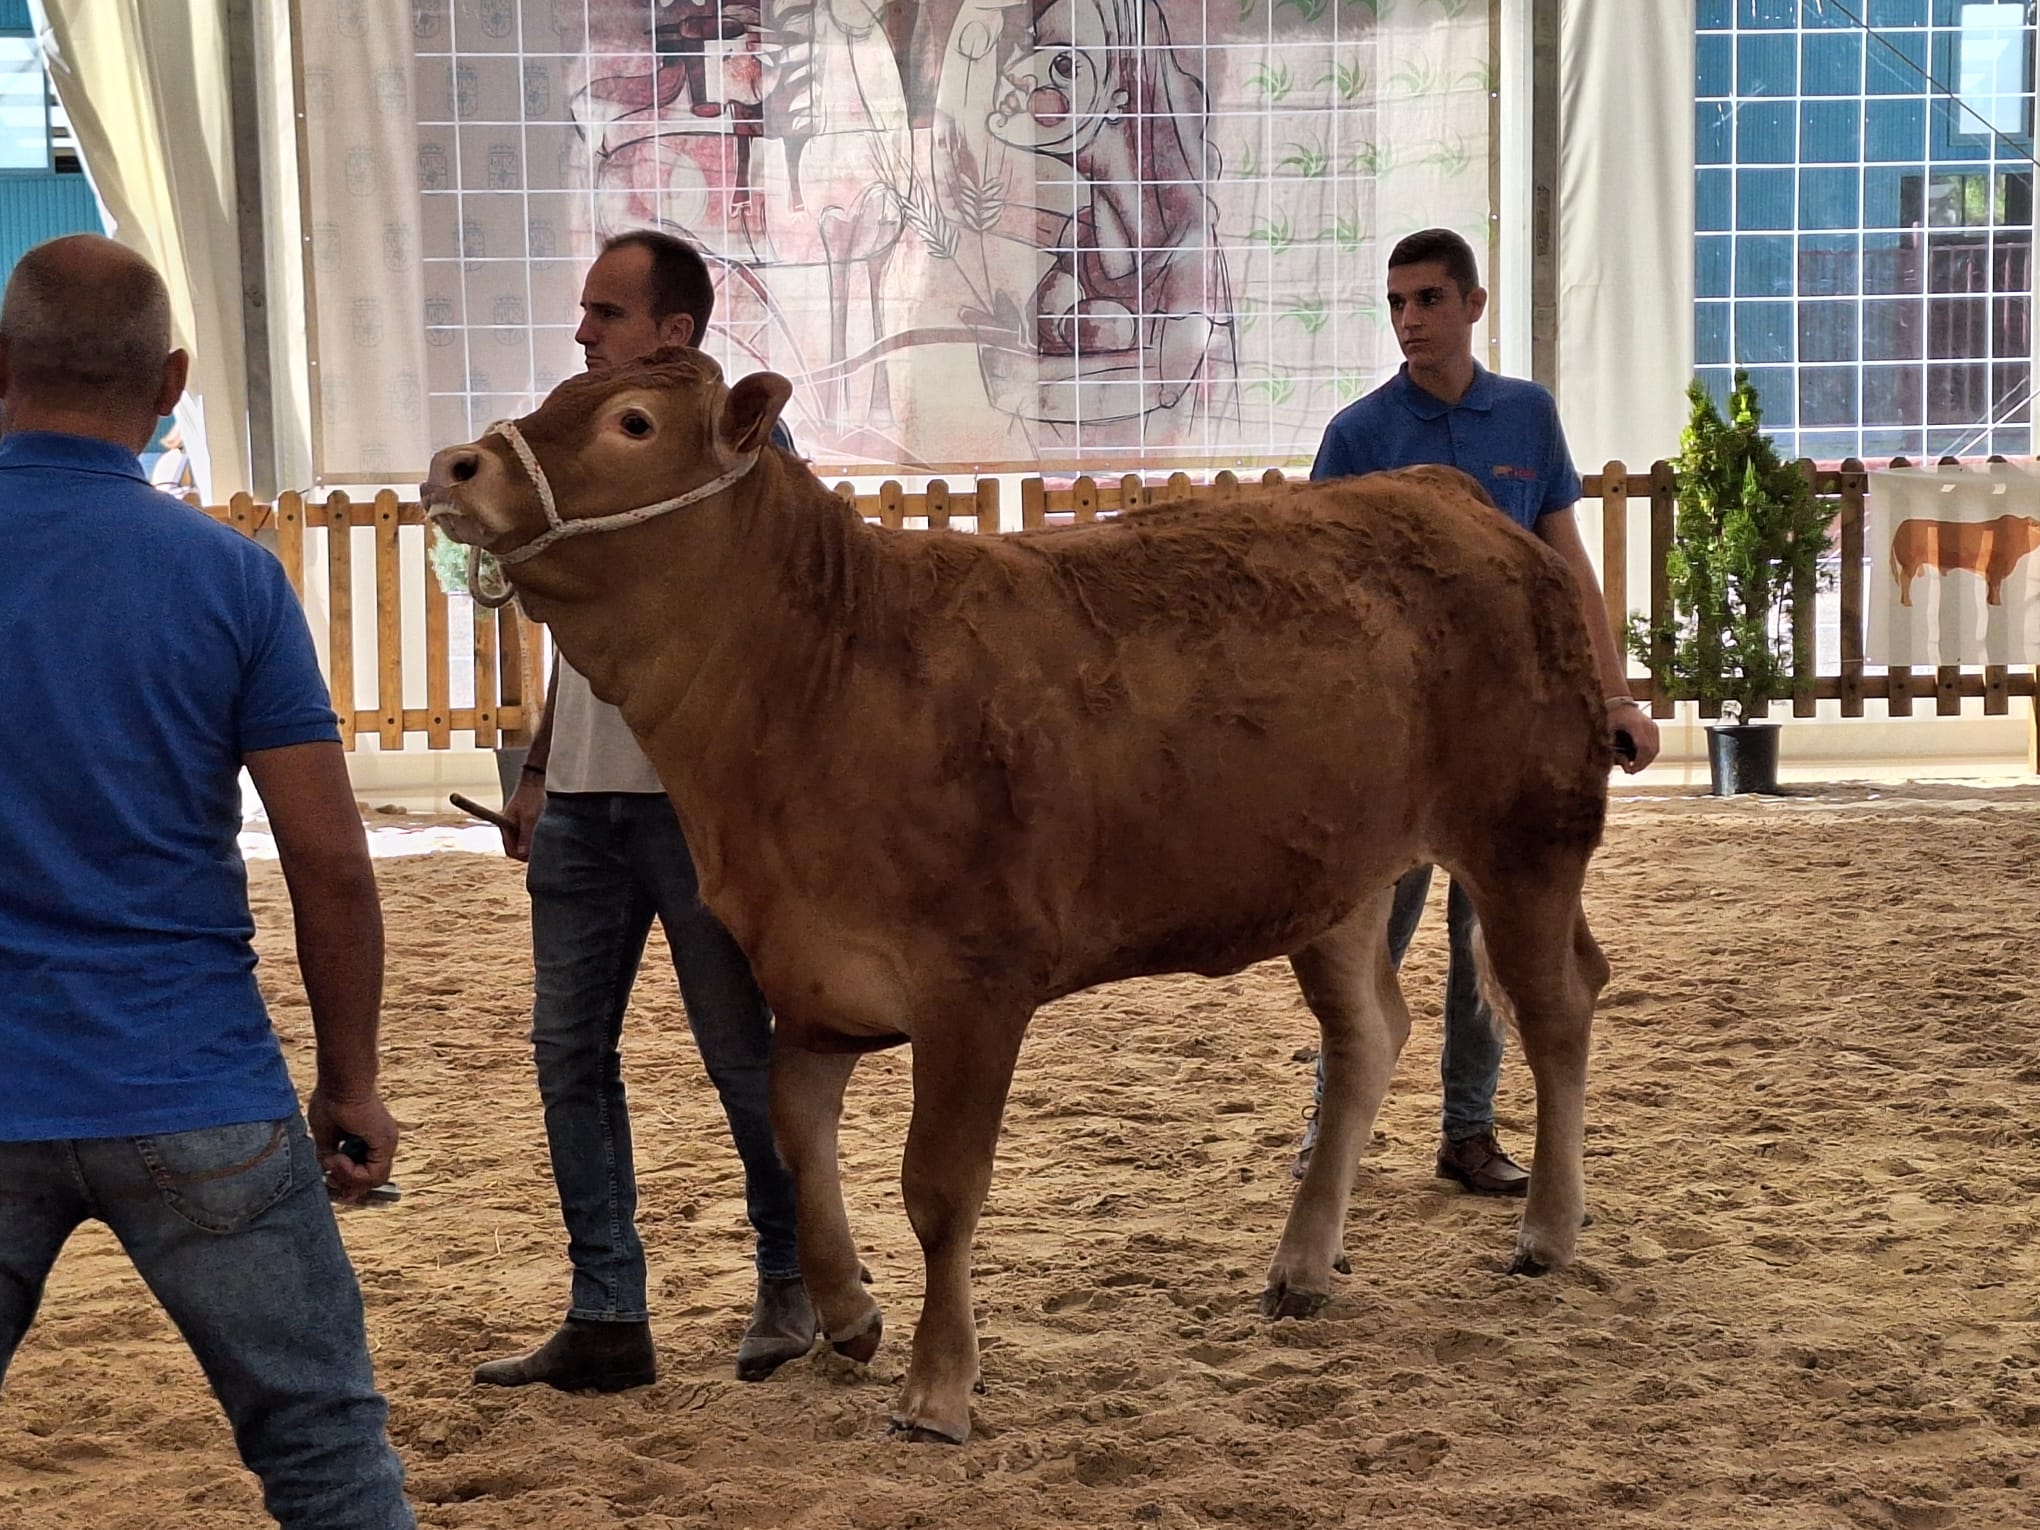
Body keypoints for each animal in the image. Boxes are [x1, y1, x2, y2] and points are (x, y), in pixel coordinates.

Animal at [422, 350, 1615, 1452]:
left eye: (632, 421)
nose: (454, 463)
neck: (825, 673)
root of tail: (1448, 495)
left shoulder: (976, 984)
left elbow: (940, 1187)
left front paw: (937, 1388)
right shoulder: (810, 973)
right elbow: (795, 1138)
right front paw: (850, 1316)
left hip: (1527, 832)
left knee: (1556, 1006)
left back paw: (1550, 1233)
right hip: (1338, 879)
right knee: (1370, 1031)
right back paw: (1303, 1265)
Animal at [1884, 518, 2040, 607]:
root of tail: (1899, 529)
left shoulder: (1990, 571)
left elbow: (1991, 586)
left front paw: (1989, 601)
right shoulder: (1997, 567)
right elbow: (1996, 586)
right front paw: (1997, 603)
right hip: (1909, 563)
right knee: (1905, 580)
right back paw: (1908, 603)